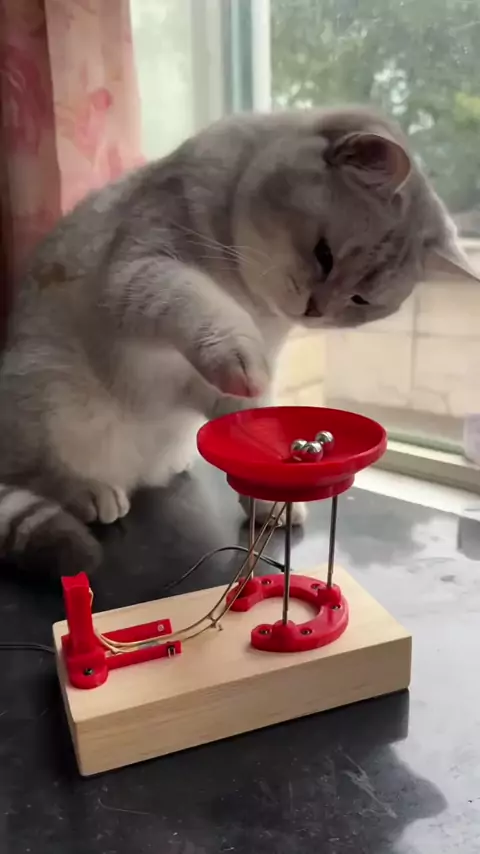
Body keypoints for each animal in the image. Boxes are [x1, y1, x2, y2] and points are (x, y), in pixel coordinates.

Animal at [0, 104, 478, 576]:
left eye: (361, 299)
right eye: (324, 255)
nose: (316, 309)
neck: (253, 301)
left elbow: (251, 433)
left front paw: (270, 502)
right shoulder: (140, 270)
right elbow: (203, 305)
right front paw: (237, 350)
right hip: (48, 390)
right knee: (32, 472)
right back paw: (90, 491)